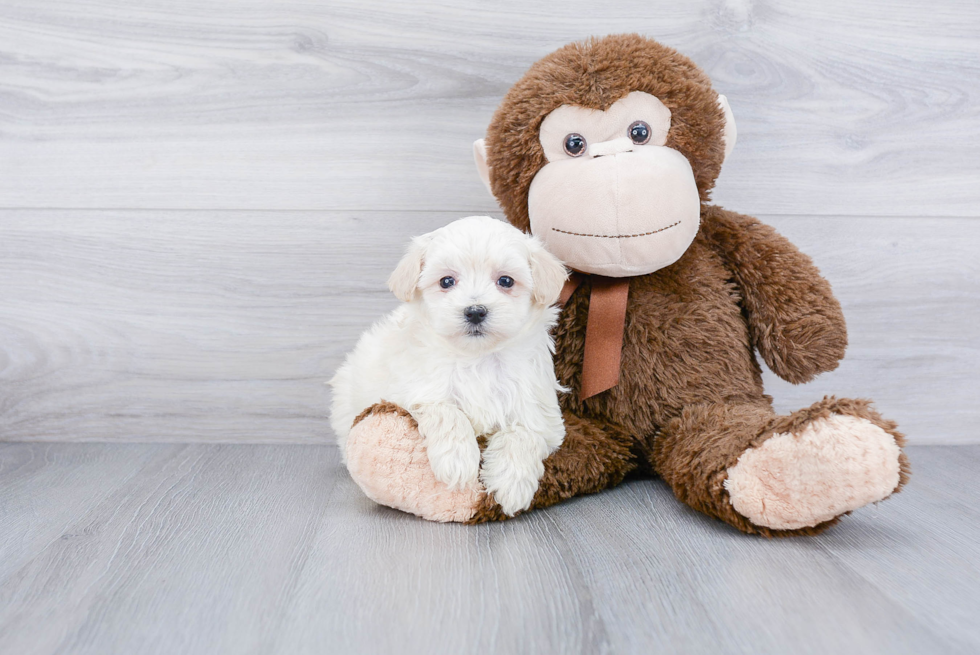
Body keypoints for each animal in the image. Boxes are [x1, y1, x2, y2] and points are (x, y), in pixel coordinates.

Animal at [334, 218, 572, 516]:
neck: (477, 358)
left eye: (506, 281)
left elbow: (524, 434)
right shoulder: (417, 390)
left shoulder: (537, 409)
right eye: (446, 281)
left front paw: (510, 485)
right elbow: (447, 411)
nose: (475, 311)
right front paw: (457, 462)